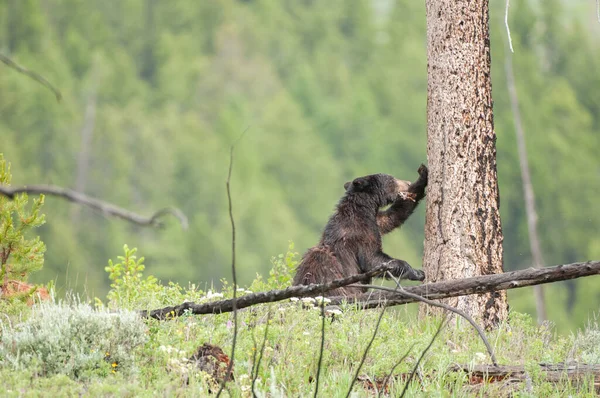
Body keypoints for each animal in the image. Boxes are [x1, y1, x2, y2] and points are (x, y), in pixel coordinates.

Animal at [290, 163, 426, 296]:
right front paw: (417, 272)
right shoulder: (359, 233)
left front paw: (422, 178)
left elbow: (394, 216)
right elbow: (372, 259)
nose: (408, 183)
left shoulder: (375, 220)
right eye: (392, 179)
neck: (363, 209)